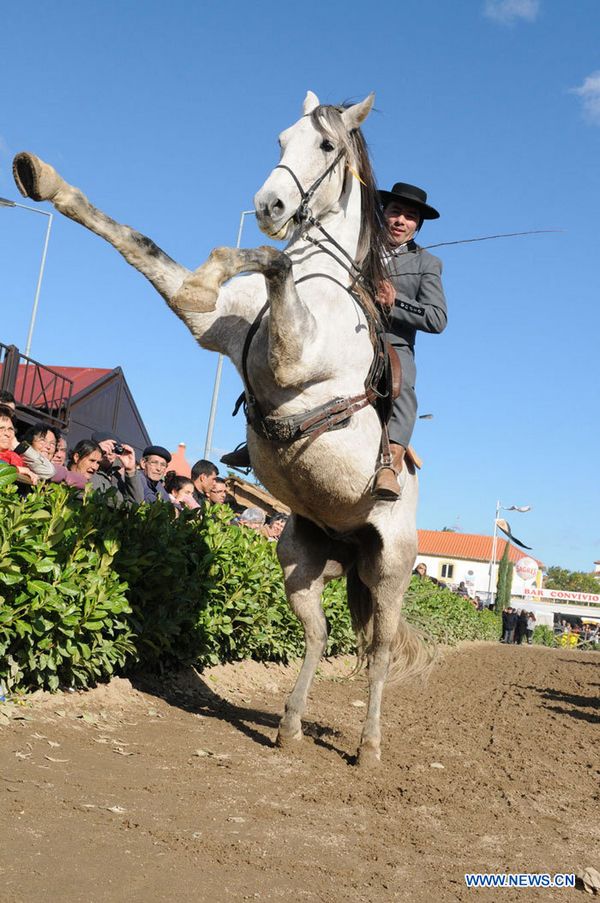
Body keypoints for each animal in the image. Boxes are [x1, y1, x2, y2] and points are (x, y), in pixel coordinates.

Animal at [14, 92, 432, 768]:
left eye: (326, 145)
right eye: (280, 137)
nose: (269, 207)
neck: (324, 288)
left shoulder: (292, 356)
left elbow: (275, 260)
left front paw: (215, 268)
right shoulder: (215, 326)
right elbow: (146, 248)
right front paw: (43, 179)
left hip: (392, 570)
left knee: (379, 652)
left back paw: (368, 748)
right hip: (299, 560)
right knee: (318, 637)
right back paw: (289, 726)